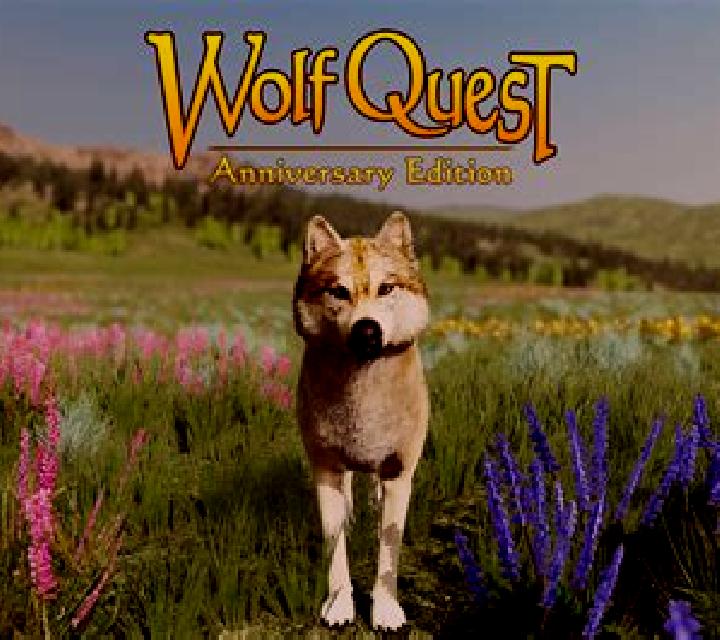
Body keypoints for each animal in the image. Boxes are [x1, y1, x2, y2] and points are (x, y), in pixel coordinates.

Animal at [293, 212, 430, 630]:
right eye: (338, 291)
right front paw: (338, 606)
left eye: (386, 288)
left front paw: (386, 612)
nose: (367, 329)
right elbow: (334, 548)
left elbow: (389, 550)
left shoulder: (399, 470)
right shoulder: (325, 467)